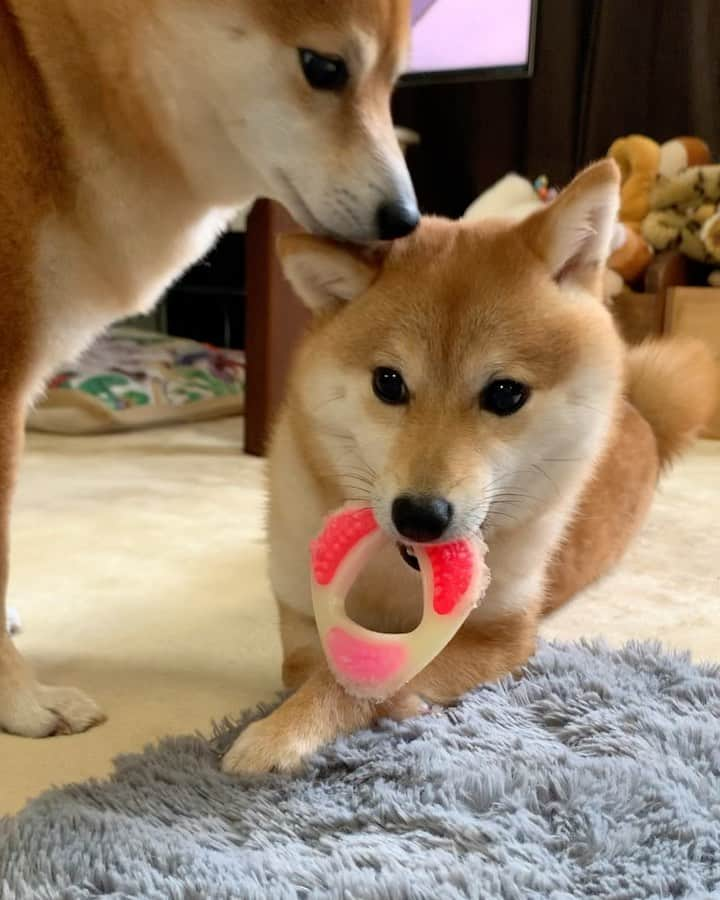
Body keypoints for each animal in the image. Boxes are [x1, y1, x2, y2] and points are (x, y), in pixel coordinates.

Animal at [222, 162, 716, 772]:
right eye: (388, 382)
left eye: (505, 393)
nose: (419, 515)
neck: (398, 583)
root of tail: (640, 411)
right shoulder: (297, 613)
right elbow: (311, 670)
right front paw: (290, 720)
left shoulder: (503, 637)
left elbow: (358, 682)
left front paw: (289, 731)